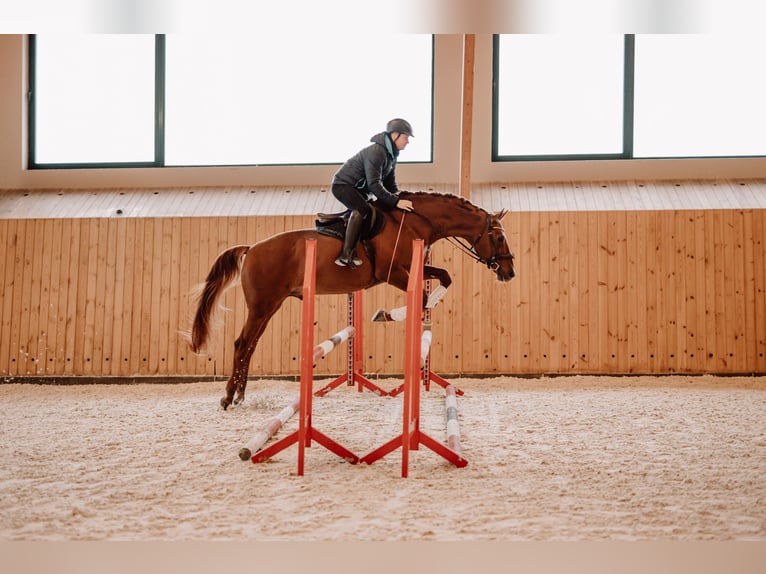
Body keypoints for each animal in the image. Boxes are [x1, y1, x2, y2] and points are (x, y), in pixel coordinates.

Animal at [190, 191, 516, 412]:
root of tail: (252, 248)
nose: (509, 272)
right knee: (241, 344)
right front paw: (387, 314)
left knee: (249, 346)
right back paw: (228, 396)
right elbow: (422, 295)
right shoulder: (392, 273)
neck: (414, 222)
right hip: (262, 306)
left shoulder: (414, 270)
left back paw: (240, 395)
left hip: (269, 306)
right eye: (499, 238)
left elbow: (445, 277)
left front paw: (424, 307)